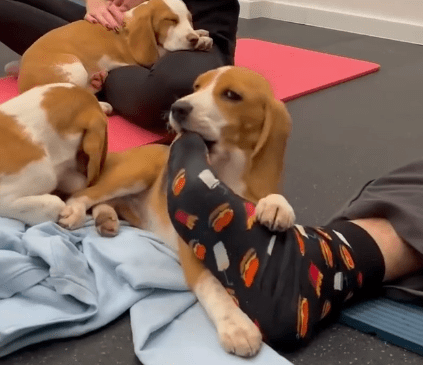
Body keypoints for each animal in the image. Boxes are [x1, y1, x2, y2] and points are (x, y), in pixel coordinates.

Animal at [14, 0, 214, 94]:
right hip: (74, 67)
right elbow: (164, 50)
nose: (193, 39)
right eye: (170, 20)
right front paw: (201, 41)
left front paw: (200, 33)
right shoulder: (148, 57)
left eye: (189, 19)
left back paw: (97, 81)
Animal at [58, 66, 294, 356]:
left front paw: (276, 204)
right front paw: (236, 325)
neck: (226, 172)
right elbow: (213, 286)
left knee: (104, 204)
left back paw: (106, 219)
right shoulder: (191, 249)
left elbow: (271, 198)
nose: (177, 107)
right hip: (137, 172)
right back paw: (75, 212)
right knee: (83, 195)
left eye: (231, 95)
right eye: (196, 86)